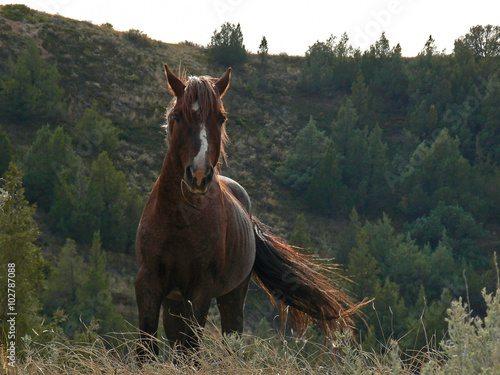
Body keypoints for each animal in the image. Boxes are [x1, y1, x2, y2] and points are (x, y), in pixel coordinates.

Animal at [135, 64, 362, 362]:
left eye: (221, 118)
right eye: (177, 116)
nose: (199, 175)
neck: (178, 222)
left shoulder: (200, 291)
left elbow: (192, 349)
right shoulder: (148, 284)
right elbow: (146, 349)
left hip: (231, 296)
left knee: (227, 340)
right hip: (174, 302)